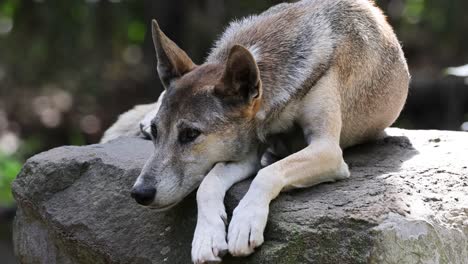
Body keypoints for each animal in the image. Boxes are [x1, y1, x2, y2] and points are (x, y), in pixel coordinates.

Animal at [100, 1, 408, 262]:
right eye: (156, 132)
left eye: (190, 134)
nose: (139, 193)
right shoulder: (246, 154)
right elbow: (208, 184)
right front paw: (206, 238)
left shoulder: (327, 149)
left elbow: (266, 174)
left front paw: (245, 222)